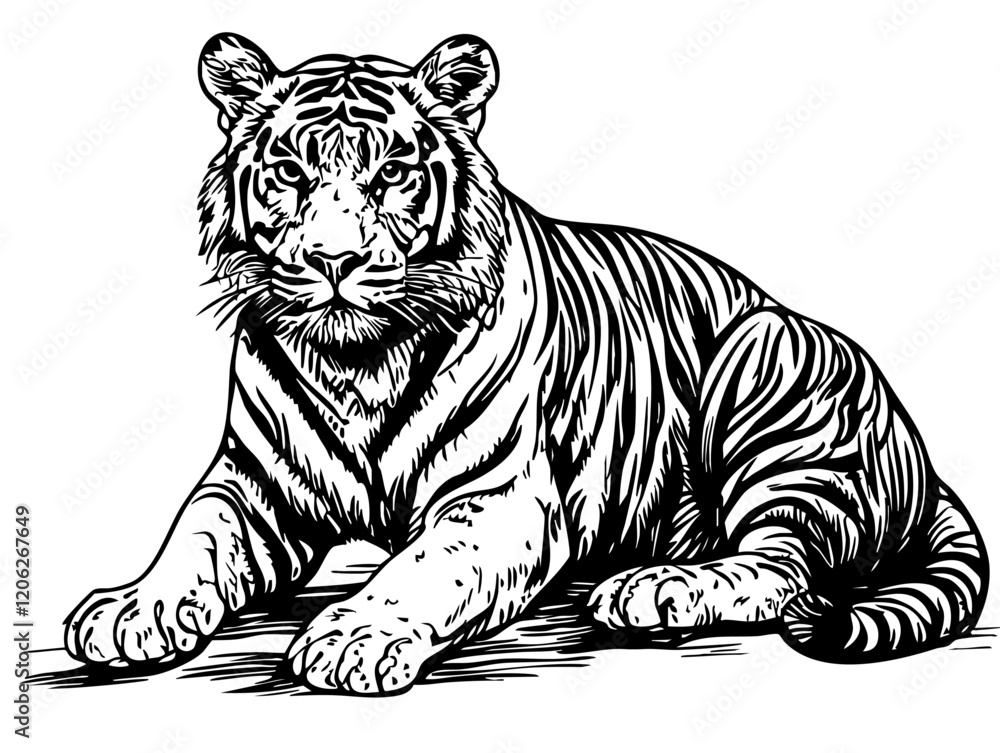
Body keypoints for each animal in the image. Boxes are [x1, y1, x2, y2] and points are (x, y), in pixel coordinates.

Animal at [65, 33, 989, 695]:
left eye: (391, 173)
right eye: (289, 171)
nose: (333, 260)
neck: (357, 361)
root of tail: (922, 453)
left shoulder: (498, 498)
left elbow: (421, 567)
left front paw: (356, 635)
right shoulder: (253, 486)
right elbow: (193, 537)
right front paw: (130, 609)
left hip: (767, 382)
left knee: (783, 568)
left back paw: (654, 591)